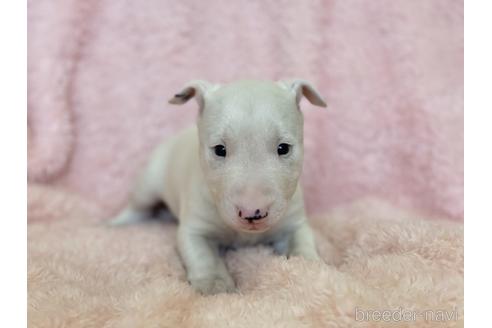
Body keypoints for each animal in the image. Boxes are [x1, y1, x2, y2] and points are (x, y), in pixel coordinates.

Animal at [111, 79, 326, 294]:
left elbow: (302, 241)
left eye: (284, 148)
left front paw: (307, 267)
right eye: (219, 149)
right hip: (149, 181)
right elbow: (203, 255)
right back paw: (114, 224)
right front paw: (214, 285)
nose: (252, 213)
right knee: (137, 207)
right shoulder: (195, 226)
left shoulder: (293, 221)